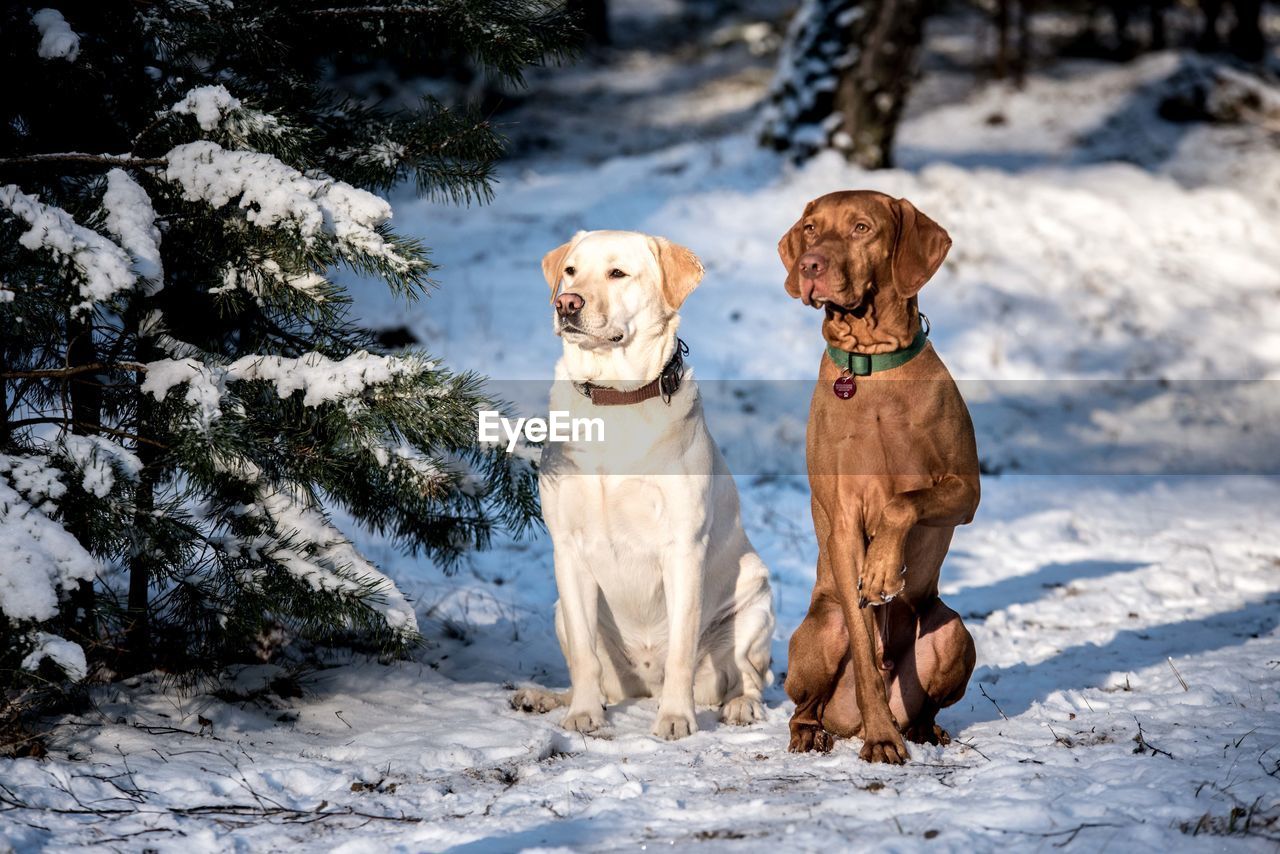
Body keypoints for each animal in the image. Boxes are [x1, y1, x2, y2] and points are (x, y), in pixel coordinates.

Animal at [512, 230, 773, 737]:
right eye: (571, 271)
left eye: (618, 273)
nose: (567, 303)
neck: (615, 399)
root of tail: (644, 686)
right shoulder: (567, 548)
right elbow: (585, 657)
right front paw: (583, 715)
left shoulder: (683, 547)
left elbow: (681, 652)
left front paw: (676, 718)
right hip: (560, 611)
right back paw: (545, 697)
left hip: (755, 601)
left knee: (752, 678)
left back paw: (740, 707)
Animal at [773, 190, 972, 763]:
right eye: (811, 228)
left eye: (862, 227)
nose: (809, 265)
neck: (869, 366)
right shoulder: (841, 520)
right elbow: (863, 648)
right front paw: (882, 739)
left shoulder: (966, 490)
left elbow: (903, 503)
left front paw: (884, 568)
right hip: (821, 631)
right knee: (806, 704)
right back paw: (817, 733)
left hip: (954, 633)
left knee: (927, 707)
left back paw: (926, 732)